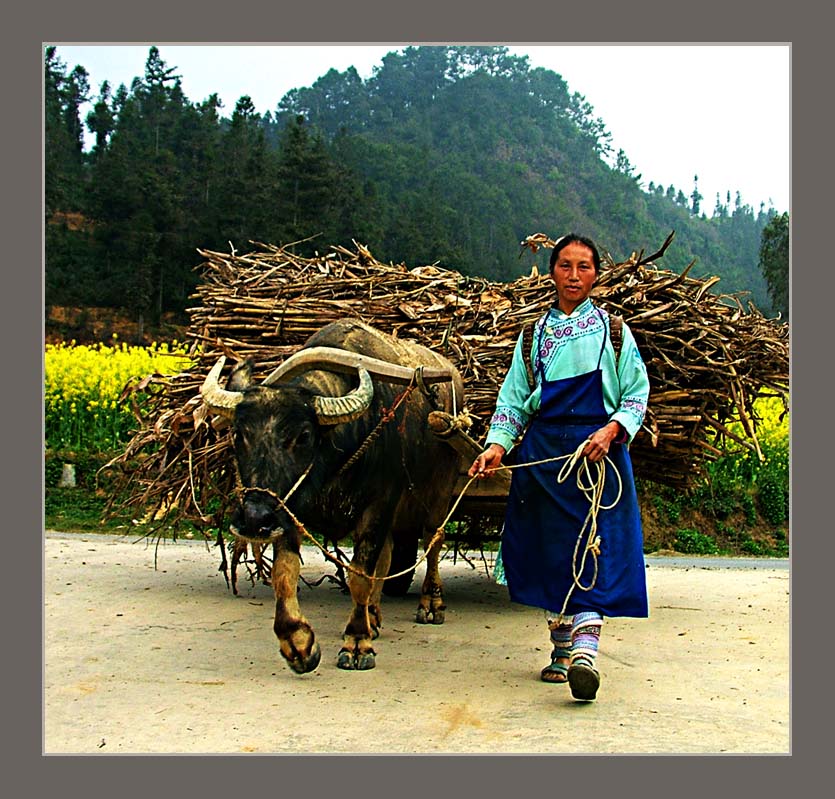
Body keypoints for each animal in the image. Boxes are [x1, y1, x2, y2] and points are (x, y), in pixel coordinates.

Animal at [200, 316, 466, 672]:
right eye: (238, 434)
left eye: (303, 435)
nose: (255, 519)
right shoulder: (289, 509)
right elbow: (285, 573)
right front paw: (298, 643)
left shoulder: (378, 504)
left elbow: (359, 577)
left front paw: (357, 642)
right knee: (388, 555)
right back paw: (373, 615)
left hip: (439, 491)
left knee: (434, 541)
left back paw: (431, 603)